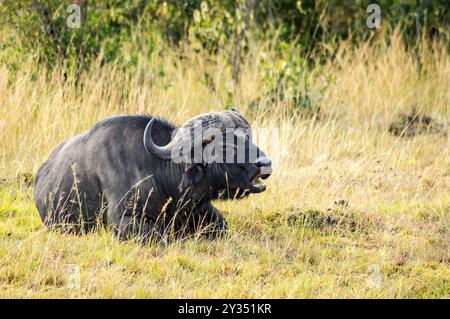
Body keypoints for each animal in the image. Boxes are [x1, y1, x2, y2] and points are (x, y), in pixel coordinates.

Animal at [34, 110, 270, 242]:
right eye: (224, 144)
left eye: (247, 137)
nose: (265, 163)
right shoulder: (122, 220)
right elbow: (161, 235)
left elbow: (221, 226)